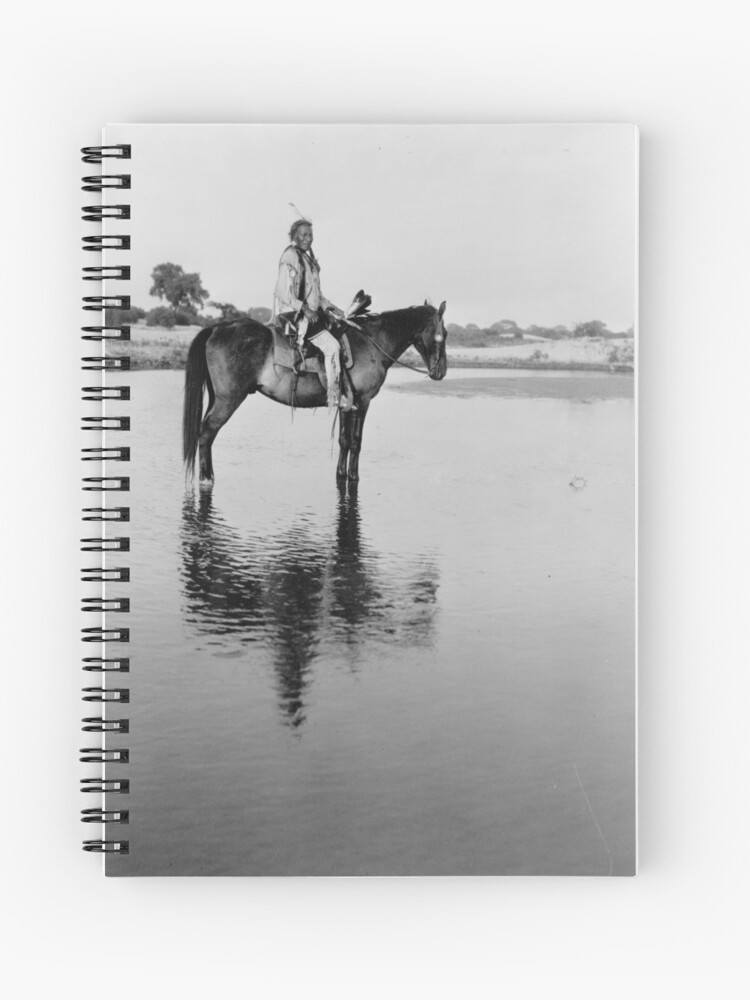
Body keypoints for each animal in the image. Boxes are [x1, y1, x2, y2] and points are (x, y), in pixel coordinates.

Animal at [183, 296, 450, 484]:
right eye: (443, 334)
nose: (441, 371)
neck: (373, 342)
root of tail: (216, 328)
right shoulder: (363, 402)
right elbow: (356, 441)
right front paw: (354, 477)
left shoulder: (347, 403)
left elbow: (344, 440)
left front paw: (341, 474)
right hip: (228, 399)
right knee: (207, 432)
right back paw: (207, 478)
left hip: (217, 397)